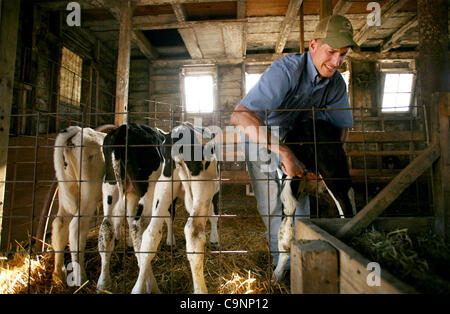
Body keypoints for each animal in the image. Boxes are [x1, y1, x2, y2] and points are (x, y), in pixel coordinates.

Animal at [52, 126, 107, 286]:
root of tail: (78, 130)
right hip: (89, 193)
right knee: (76, 227)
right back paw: (80, 278)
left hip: (67, 190)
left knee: (60, 225)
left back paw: (59, 273)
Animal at [131, 122, 221, 294]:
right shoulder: (216, 191)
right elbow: (214, 216)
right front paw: (215, 239)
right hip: (204, 187)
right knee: (194, 232)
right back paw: (200, 289)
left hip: (163, 186)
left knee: (150, 233)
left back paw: (139, 288)